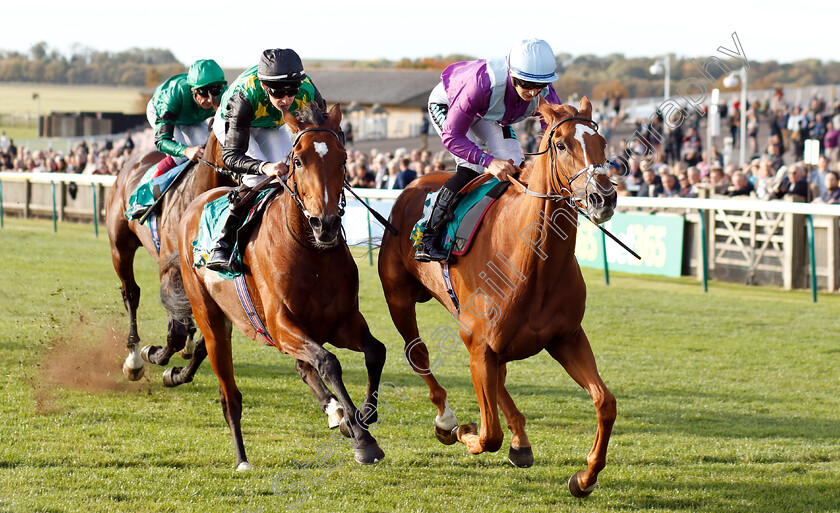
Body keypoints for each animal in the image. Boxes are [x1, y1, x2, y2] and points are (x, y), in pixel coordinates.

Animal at [106, 130, 236, 386]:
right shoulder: (170, 265)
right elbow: (175, 332)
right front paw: (153, 354)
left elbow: (205, 338)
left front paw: (181, 368)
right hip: (120, 248)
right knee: (131, 293)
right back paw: (134, 358)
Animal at [179, 102, 388, 470]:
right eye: (298, 161)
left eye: (343, 158)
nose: (326, 224)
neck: (312, 255)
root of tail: (196, 202)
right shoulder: (280, 326)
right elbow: (328, 362)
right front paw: (363, 439)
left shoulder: (342, 322)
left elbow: (376, 351)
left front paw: (361, 415)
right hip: (212, 320)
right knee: (230, 395)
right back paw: (242, 457)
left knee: (304, 368)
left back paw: (336, 412)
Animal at [378, 96, 616, 496]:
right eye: (562, 144)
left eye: (602, 142)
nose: (604, 197)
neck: (530, 264)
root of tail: (417, 182)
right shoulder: (479, 345)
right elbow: (488, 435)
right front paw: (465, 432)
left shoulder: (567, 338)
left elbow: (605, 402)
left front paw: (585, 477)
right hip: (399, 299)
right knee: (419, 354)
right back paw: (447, 421)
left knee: (499, 380)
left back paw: (520, 442)